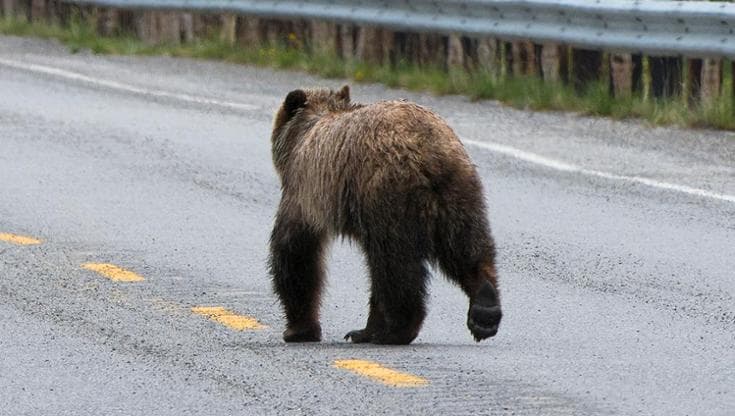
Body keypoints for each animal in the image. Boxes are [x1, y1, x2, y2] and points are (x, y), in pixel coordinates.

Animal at [268, 85, 502, 345]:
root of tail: (430, 150)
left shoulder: (305, 192)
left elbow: (296, 253)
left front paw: (299, 330)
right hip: (459, 191)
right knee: (466, 246)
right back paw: (485, 309)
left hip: (386, 195)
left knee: (395, 266)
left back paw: (397, 329)